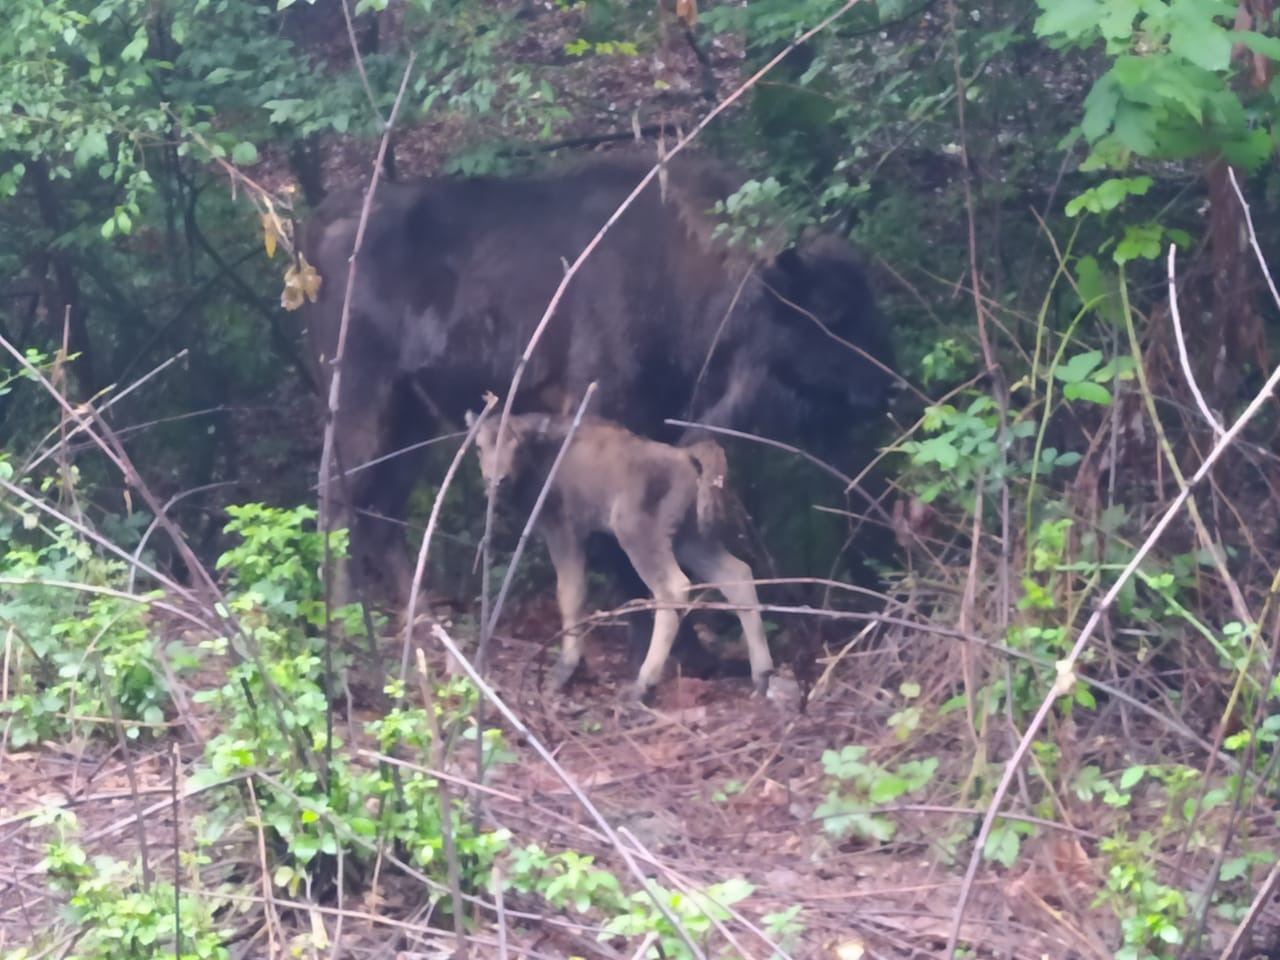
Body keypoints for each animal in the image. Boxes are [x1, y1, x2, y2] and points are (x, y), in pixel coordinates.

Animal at [302, 152, 901, 601]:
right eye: (829, 316)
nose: (885, 389)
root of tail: (323, 227)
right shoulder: (605, 415)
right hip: (362, 409)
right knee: (338, 513)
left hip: (412, 421)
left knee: (381, 519)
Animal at [468, 407, 768, 701]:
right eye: (479, 447)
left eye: (516, 447)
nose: (496, 480)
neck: (543, 450)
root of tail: (686, 457)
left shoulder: (563, 531)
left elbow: (570, 593)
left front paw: (564, 671)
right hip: (691, 539)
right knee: (737, 574)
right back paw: (762, 677)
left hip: (638, 535)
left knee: (673, 587)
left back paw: (642, 686)